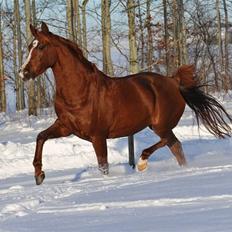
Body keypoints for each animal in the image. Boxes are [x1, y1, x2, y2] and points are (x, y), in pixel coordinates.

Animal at [19, 22, 231, 185]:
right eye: (29, 46)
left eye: (41, 47)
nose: (23, 73)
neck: (80, 92)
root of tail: (174, 81)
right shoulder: (65, 126)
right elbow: (40, 137)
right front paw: (39, 175)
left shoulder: (98, 136)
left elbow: (103, 166)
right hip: (159, 126)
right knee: (176, 146)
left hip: (160, 125)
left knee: (170, 141)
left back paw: (142, 163)